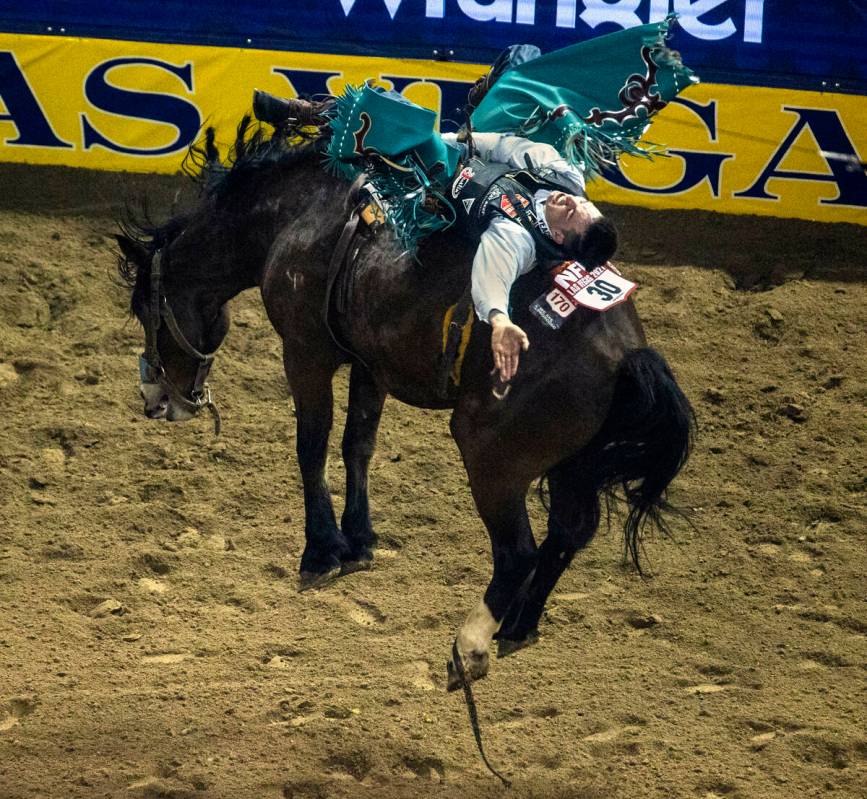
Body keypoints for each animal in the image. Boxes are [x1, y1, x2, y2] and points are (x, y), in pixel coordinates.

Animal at [118, 111, 696, 688]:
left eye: (145, 308)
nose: (155, 400)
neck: (300, 213)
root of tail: (628, 352)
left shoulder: (305, 352)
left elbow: (312, 446)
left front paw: (321, 552)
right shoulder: (369, 364)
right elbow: (357, 445)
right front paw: (359, 540)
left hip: (494, 458)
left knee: (518, 553)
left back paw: (470, 647)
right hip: (574, 462)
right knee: (568, 534)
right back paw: (517, 626)